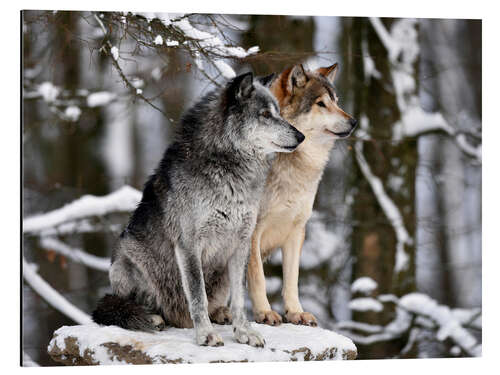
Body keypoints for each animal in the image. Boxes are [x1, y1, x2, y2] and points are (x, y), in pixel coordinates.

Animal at [93, 70, 304, 346]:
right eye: (265, 115)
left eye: (278, 112)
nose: (301, 136)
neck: (228, 168)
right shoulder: (189, 246)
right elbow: (197, 296)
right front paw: (205, 334)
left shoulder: (241, 244)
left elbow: (239, 299)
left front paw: (244, 332)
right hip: (131, 259)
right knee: (129, 305)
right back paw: (154, 318)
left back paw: (221, 313)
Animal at [248, 65, 358, 328]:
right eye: (321, 103)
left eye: (336, 101)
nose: (354, 122)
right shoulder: (251, 231)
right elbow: (258, 277)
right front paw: (264, 312)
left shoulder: (296, 230)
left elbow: (292, 279)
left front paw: (296, 313)